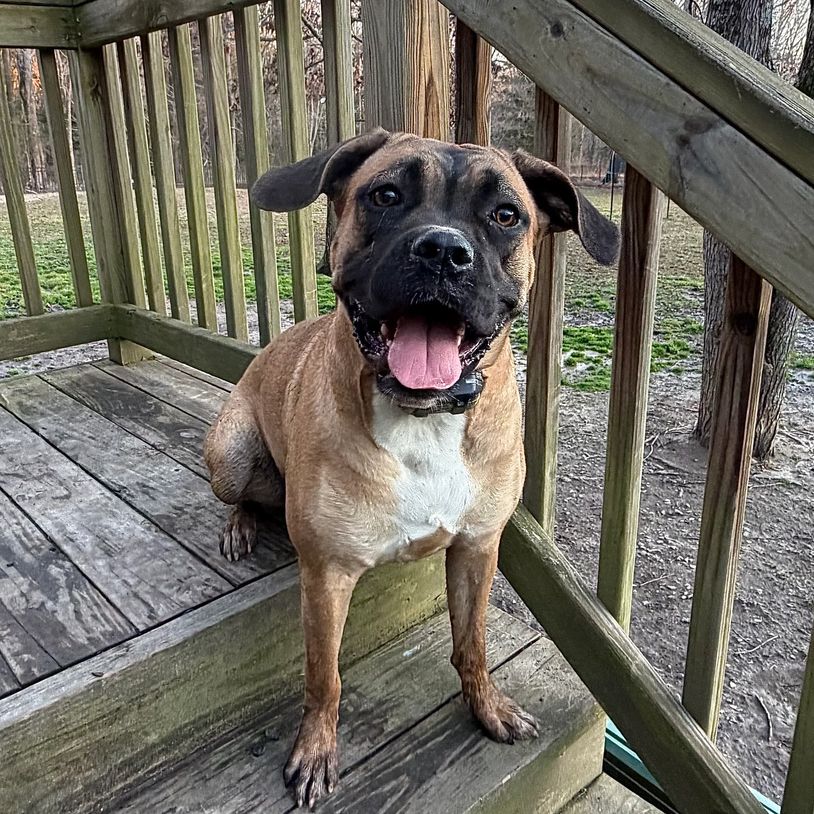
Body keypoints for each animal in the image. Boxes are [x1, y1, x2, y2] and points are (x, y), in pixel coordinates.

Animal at [204, 129, 619, 808]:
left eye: (506, 215)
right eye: (386, 195)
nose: (443, 251)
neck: (422, 417)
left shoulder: (477, 548)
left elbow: (473, 644)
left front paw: (488, 707)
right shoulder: (327, 576)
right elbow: (325, 677)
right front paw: (316, 750)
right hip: (231, 455)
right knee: (241, 493)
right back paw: (240, 526)